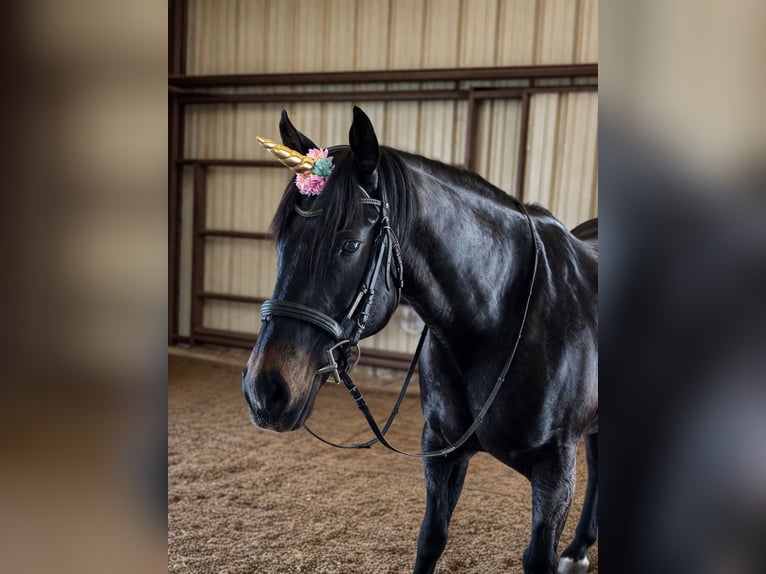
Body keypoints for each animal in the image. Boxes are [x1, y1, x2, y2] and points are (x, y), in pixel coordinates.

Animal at [242, 106, 598, 574]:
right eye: (281, 242)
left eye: (349, 245)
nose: (265, 390)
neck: (497, 319)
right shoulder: (442, 450)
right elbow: (431, 538)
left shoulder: (554, 471)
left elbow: (538, 556)